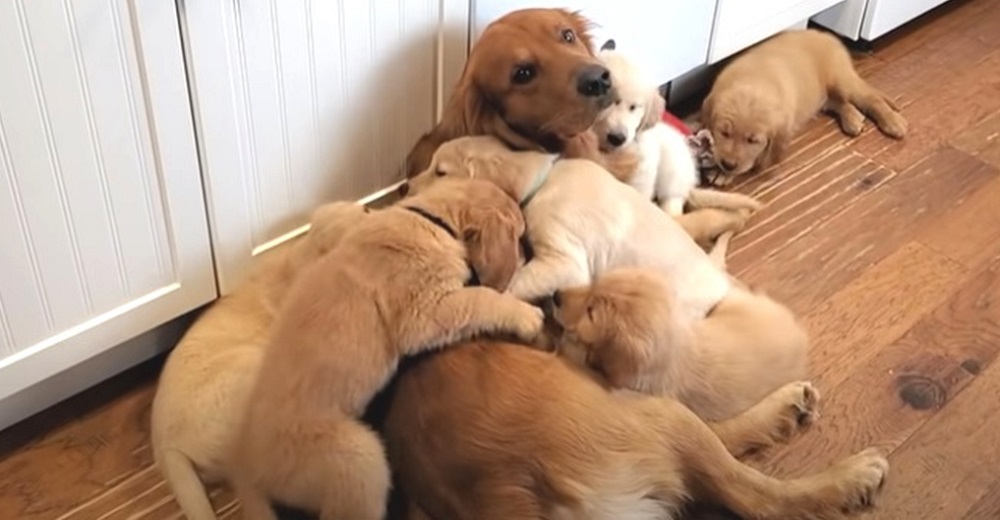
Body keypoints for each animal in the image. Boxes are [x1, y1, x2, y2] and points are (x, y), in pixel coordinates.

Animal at [402, 135, 752, 316]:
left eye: (441, 172)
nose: (405, 187)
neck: (544, 180)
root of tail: (720, 282)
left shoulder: (564, 261)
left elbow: (515, 283)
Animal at [588, 39, 760, 216]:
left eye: (633, 107)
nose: (617, 138)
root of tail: (689, 185)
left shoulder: (643, 172)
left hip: (673, 168)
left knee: (673, 204)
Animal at [704, 28, 908, 186]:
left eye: (752, 141)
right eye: (724, 133)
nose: (728, 164)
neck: (754, 82)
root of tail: (826, 35)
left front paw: (724, 173)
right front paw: (719, 168)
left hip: (841, 80)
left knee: (872, 98)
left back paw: (894, 123)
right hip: (821, 95)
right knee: (841, 103)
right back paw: (853, 120)